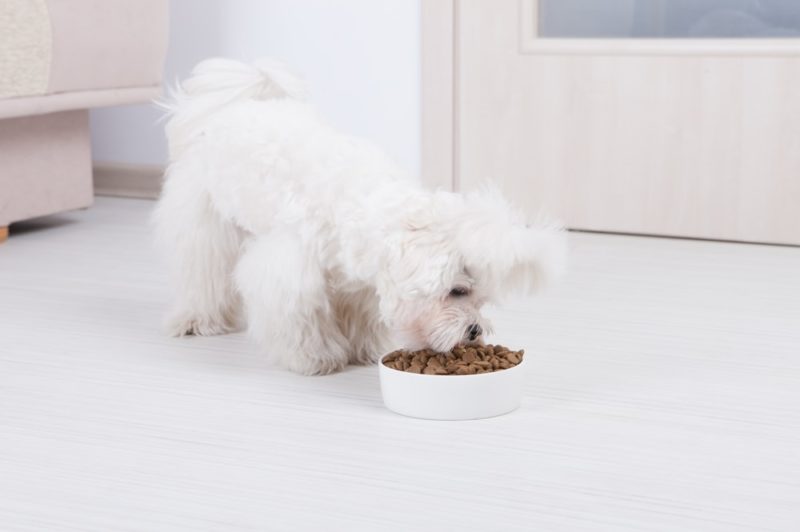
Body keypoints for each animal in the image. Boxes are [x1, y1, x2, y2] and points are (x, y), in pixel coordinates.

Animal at [155, 57, 564, 374]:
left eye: (481, 299)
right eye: (458, 291)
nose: (475, 330)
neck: (367, 205)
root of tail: (235, 106)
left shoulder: (358, 284)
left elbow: (359, 317)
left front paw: (362, 351)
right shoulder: (291, 272)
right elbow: (301, 316)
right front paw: (317, 358)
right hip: (205, 221)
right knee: (202, 272)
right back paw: (197, 320)